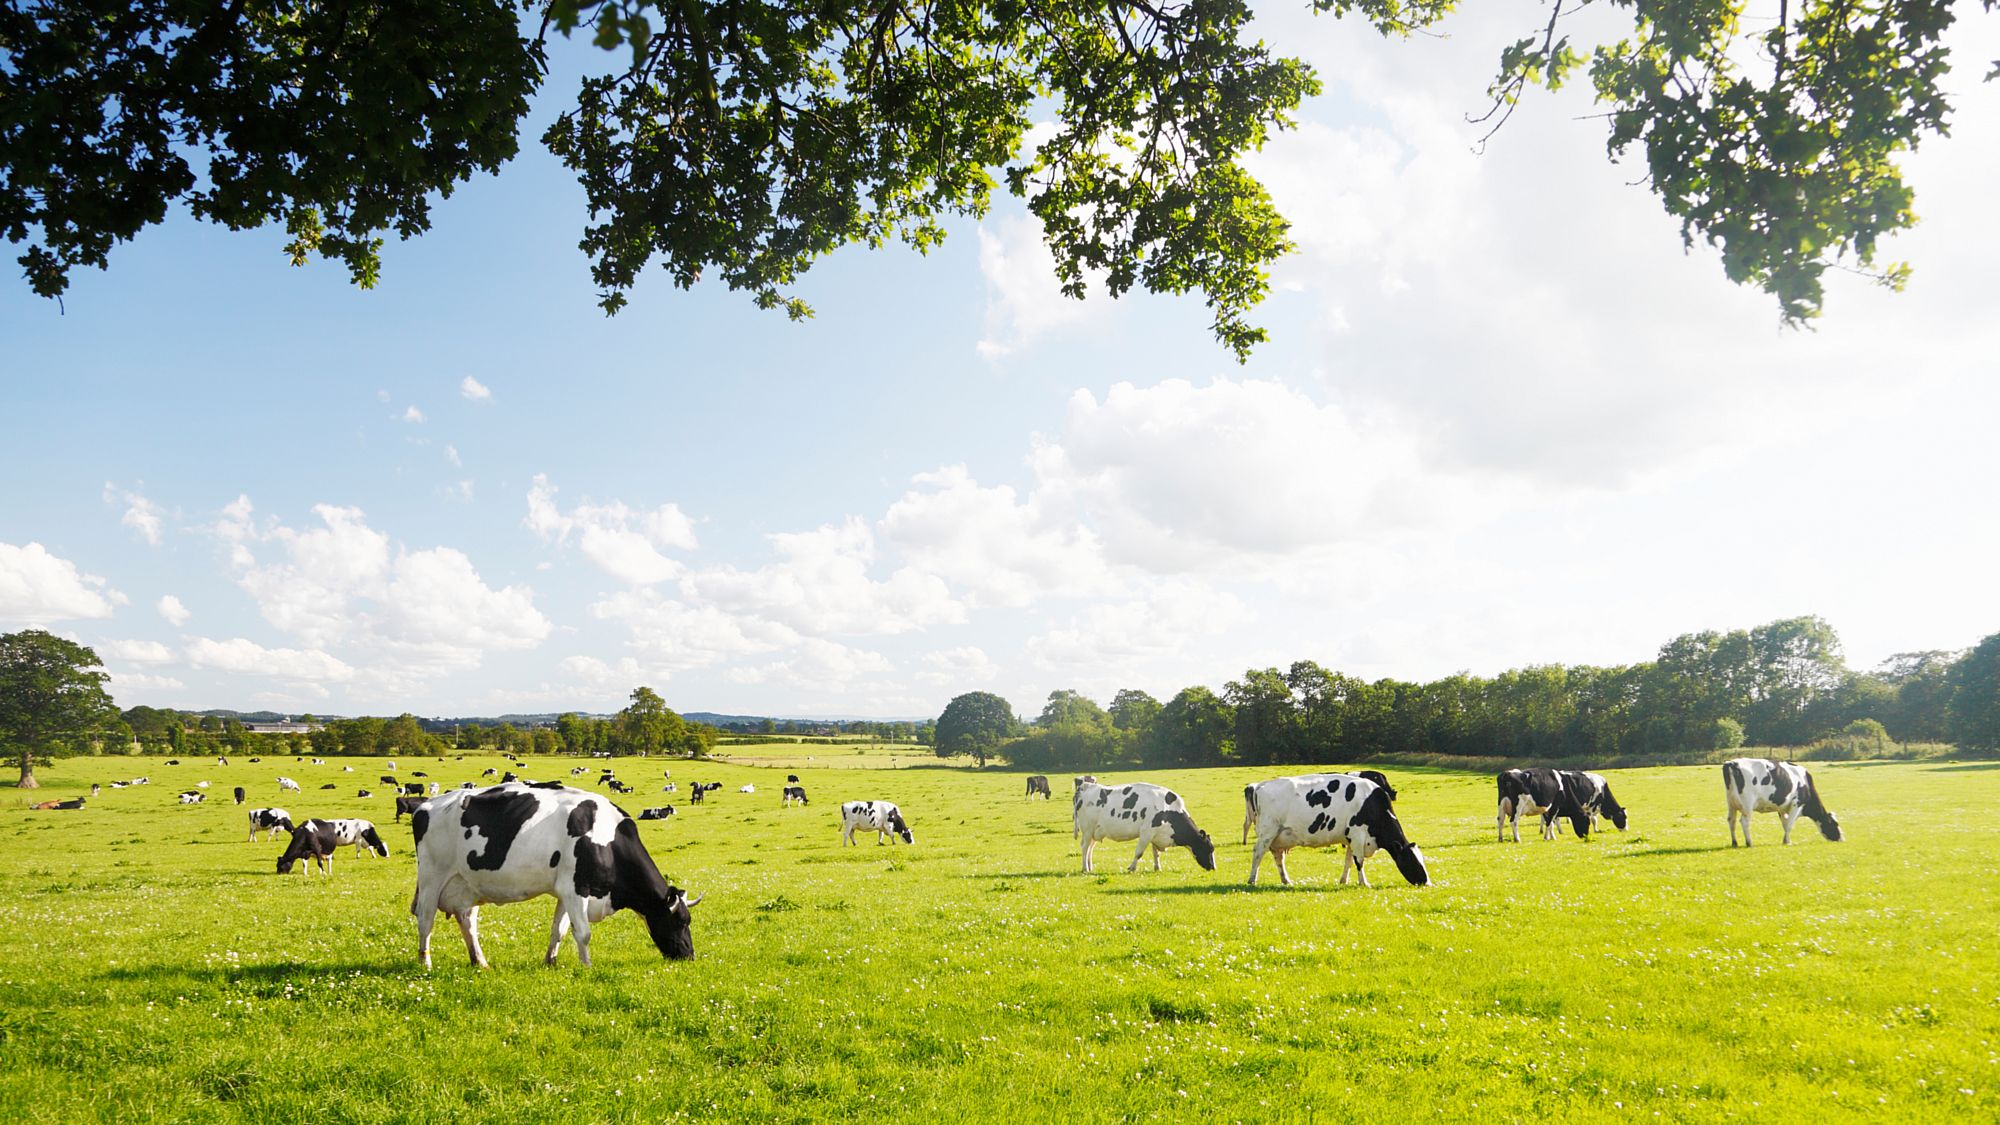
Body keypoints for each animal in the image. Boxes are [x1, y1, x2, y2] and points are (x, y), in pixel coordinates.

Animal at [406, 780, 704, 964]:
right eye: (680, 921)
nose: (689, 955)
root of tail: (426, 805)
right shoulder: (576, 889)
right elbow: (583, 932)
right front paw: (587, 966)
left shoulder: (566, 891)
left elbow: (558, 930)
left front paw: (551, 961)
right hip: (432, 878)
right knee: (425, 920)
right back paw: (425, 963)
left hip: (467, 884)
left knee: (467, 921)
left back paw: (480, 962)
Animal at [1072, 780, 1208, 876]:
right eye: (1209, 849)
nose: (1212, 867)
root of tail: (1084, 786)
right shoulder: (1146, 833)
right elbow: (1139, 853)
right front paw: (1131, 868)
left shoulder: (1155, 834)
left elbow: (1156, 853)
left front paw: (1157, 868)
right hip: (1087, 830)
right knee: (1084, 847)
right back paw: (1085, 868)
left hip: (1095, 832)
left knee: (1090, 849)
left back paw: (1090, 867)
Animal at [1240, 768, 1432, 884]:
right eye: (1413, 860)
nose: (1427, 883)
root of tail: (1260, 785)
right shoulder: (1357, 835)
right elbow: (1359, 861)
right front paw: (1364, 883)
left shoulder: (1351, 838)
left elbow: (1349, 861)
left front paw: (1344, 880)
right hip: (1267, 832)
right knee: (1258, 853)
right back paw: (1252, 879)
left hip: (1279, 836)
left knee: (1278, 858)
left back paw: (1286, 880)